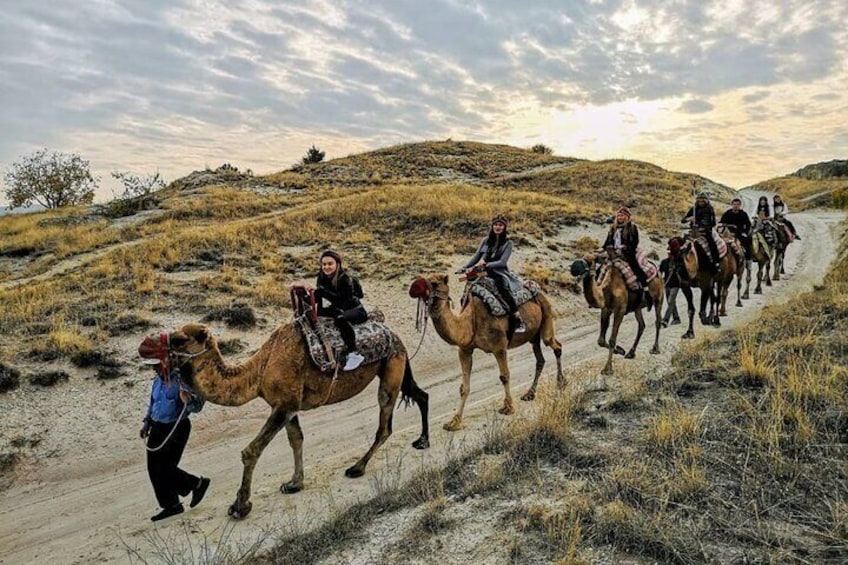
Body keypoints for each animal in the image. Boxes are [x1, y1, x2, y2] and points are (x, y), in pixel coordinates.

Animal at [168, 320, 430, 516]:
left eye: (178, 340)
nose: (164, 363)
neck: (260, 369)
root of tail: (394, 335)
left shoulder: (284, 405)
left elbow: (252, 450)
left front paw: (240, 506)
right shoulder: (288, 406)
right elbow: (296, 440)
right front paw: (295, 484)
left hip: (392, 366)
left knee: (384, 424)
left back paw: (357, 467)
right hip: (397, 365)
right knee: (421, 395)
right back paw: (422, 441)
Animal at [410, 270, 564, 430]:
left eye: (434, 283)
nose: (414, 289)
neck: (470, 321)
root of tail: (538, 289)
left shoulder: (499, 347)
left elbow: (504, 376)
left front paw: (508, 407)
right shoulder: (465, 350)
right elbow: (464, 387)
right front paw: (454, 421)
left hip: (546, 316)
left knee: (556, 346)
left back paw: (560, 383)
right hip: (533, 336)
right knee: (540, 359)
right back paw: (529, 394)